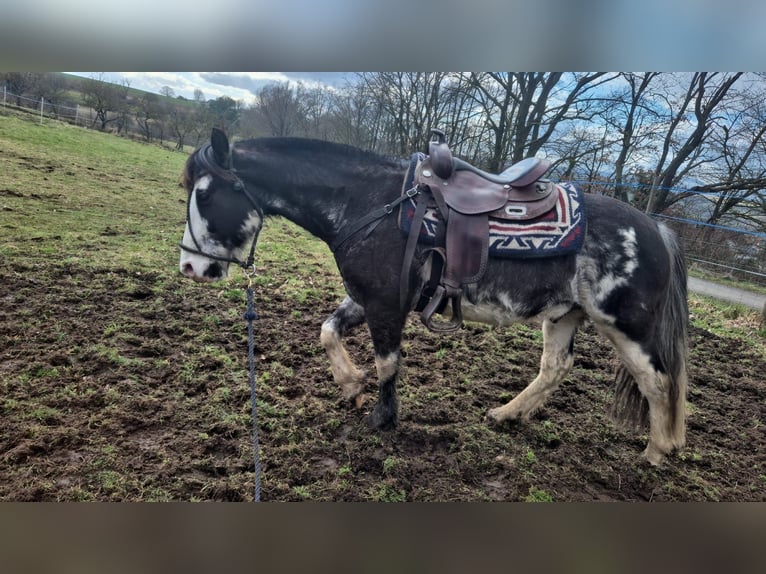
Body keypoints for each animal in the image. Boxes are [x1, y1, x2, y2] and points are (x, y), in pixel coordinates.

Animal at [178, 128, 688, 466]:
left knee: (658, 382)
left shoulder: (385, 304)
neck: (368, 203)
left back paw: (657, 451)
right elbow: (327, 332)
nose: (190, 266)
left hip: (627, 325)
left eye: (204, 196)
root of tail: (656, 229)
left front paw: (382, 417)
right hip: (563, 315)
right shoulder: (367, 297)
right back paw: (508, 414)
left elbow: (388, 363)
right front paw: (351, 384)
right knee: (555, 368)